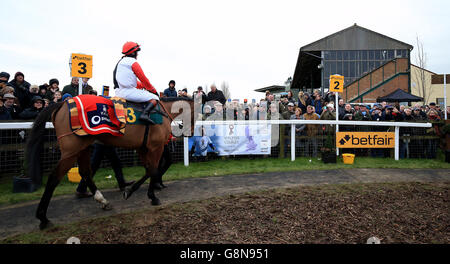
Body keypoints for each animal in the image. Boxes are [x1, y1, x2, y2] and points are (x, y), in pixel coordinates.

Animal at [26, 96, 195, 229]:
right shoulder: (156, 146)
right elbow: (152, 170)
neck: (164, 112)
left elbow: (149, 170)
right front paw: (152, 196)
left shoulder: (142, 147)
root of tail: (61, 104)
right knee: (54, 178)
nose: (190, 133)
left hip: (83, 147)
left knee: (85, 173)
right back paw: (43, 217)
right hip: (71, 150)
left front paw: (132, 190)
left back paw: (102, 200)